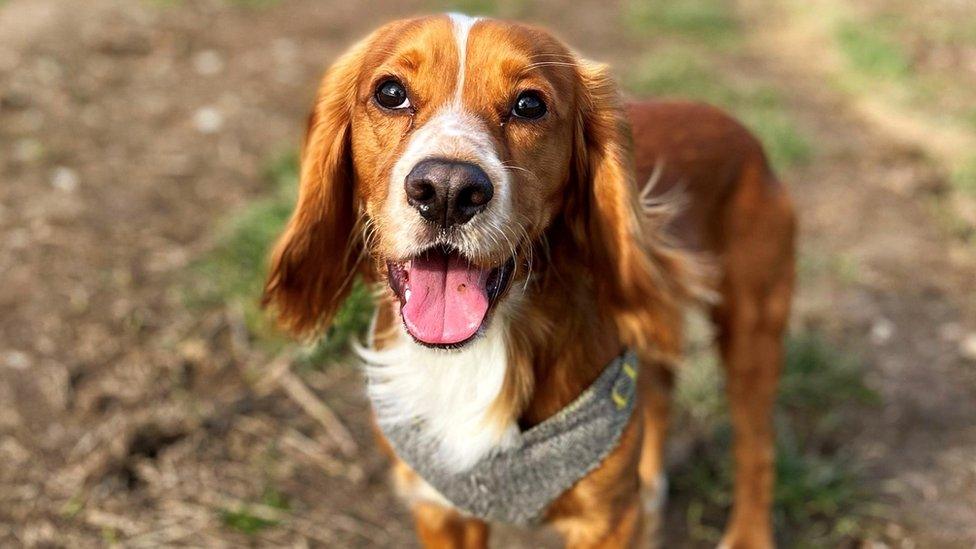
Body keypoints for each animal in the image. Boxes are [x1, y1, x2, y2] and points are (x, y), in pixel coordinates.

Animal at [264, 12, 792, 548]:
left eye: (529, 105)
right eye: (390, 93)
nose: (448, 190)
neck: (478, 352)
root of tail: (738, 129)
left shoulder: (605, 519)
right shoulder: (440, 508)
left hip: (752, 330)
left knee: (757, 444)